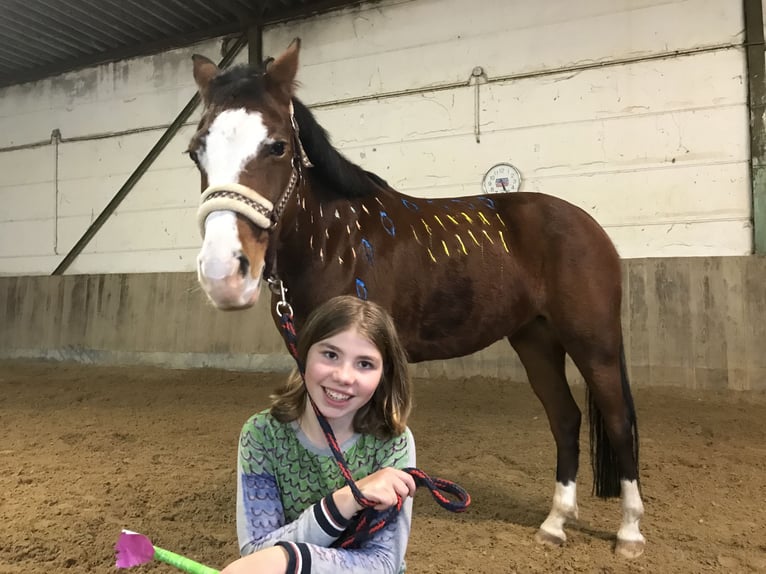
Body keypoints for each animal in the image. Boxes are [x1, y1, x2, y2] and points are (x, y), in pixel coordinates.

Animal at [189, 39, 644, 560]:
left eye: (278, 146)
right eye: (195, 152)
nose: (223, 273)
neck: (336, 239)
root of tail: (588, 225)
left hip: (595, 344)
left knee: (618, 422)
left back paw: (630, 533)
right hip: (536, 339)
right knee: (565, 419)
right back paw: (554, 523)